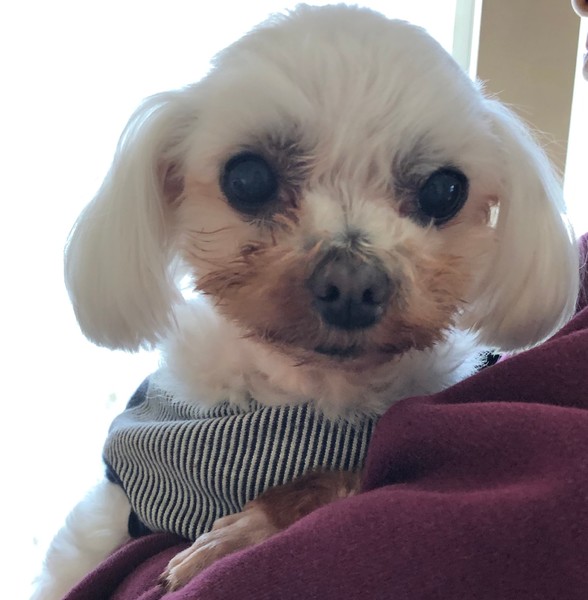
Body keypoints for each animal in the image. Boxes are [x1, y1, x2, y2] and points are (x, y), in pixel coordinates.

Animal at [33, 4, 579, 598]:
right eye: (247, 177)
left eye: (443, 190)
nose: (353, 287)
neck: (309, 393)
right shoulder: (120, 494)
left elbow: (337, 475)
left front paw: (240, 531)